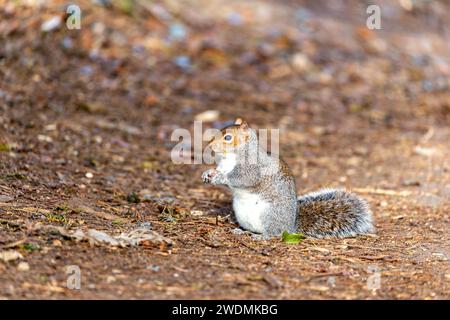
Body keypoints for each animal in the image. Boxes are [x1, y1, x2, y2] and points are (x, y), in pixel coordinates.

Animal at [202, 117, 374, 238]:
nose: (210, 146)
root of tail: (291, 227)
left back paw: (260, 237)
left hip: (269, 214)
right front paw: (208, 173)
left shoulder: (252, 169)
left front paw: (220, 178)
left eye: (228, 138)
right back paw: (243, 232)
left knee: (274, 233)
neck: (230, 158)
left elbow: (241, 179)